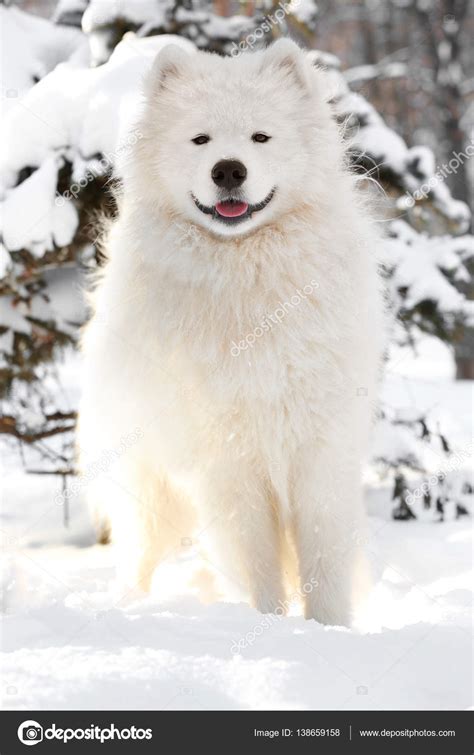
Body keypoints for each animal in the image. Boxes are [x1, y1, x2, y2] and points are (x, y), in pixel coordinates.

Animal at [78, 38, 386, 628]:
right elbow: (257, 561)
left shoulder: (320, 452)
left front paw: (329, 630)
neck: (248, 276)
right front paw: (267, 626)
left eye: (260, 137)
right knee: (140, 552)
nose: (228, 170)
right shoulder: (228, 462)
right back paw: (129, 605)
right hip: (150, 480)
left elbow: (323, 560)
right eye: (200, 139)